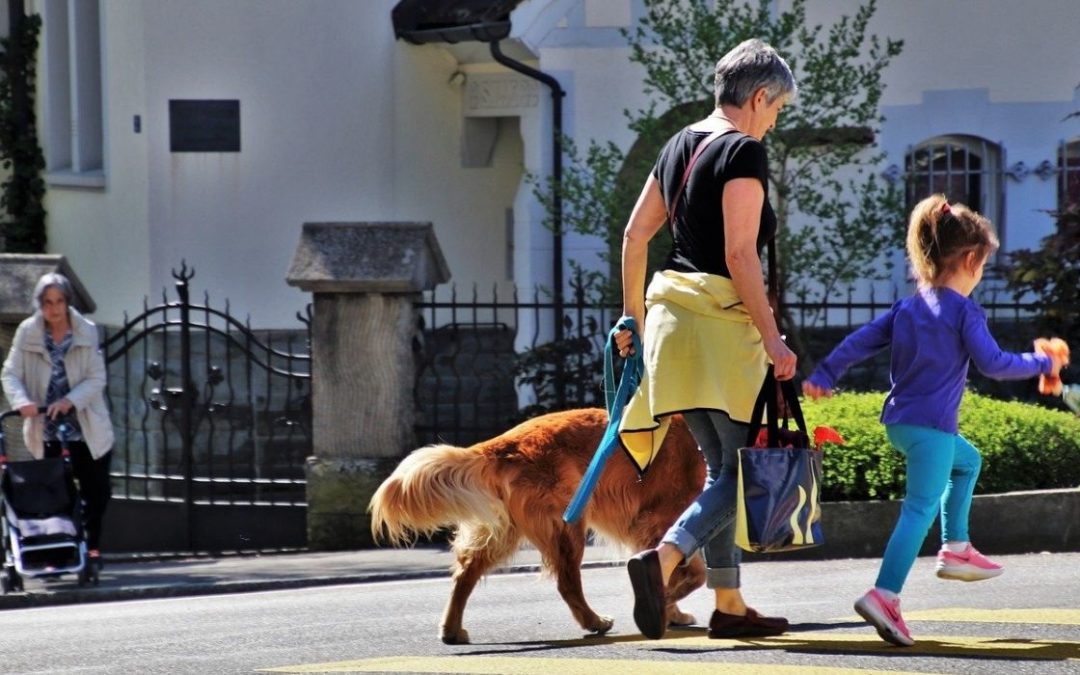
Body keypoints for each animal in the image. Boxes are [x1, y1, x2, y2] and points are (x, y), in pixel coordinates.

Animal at [369, 406, 708, 643]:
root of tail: (504, 444)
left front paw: (670, 611)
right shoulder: (661, 520)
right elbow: (691, 573)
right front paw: (664, 606)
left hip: (505, 531)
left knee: (465, 573)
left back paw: (451, 630)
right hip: (567, 525)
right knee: (567, 582)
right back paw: (593, 621)